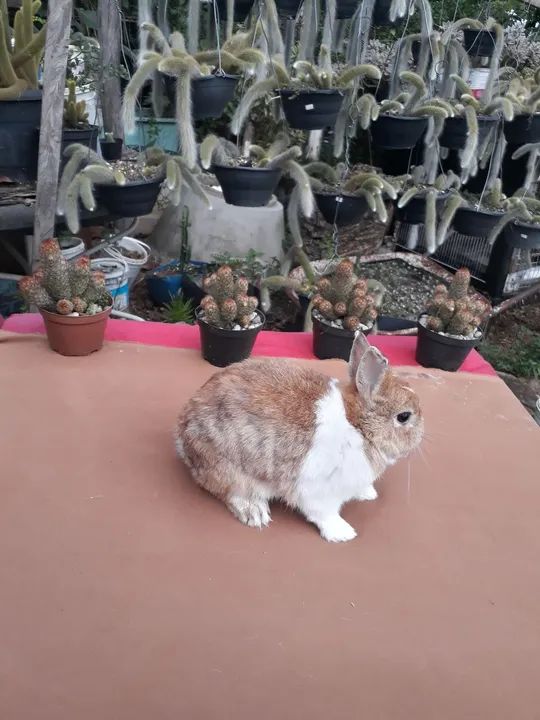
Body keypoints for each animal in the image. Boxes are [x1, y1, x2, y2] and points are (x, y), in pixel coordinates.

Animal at [175, 332, 423, 542]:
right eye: (404, 417)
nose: (421, 436)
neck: (358, 427)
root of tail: (183, 432)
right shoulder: (317, 489)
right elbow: (323, 513)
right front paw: (343, 533)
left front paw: (368, 494)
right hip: (230, 469)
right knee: (230, 492)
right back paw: (255, 512)